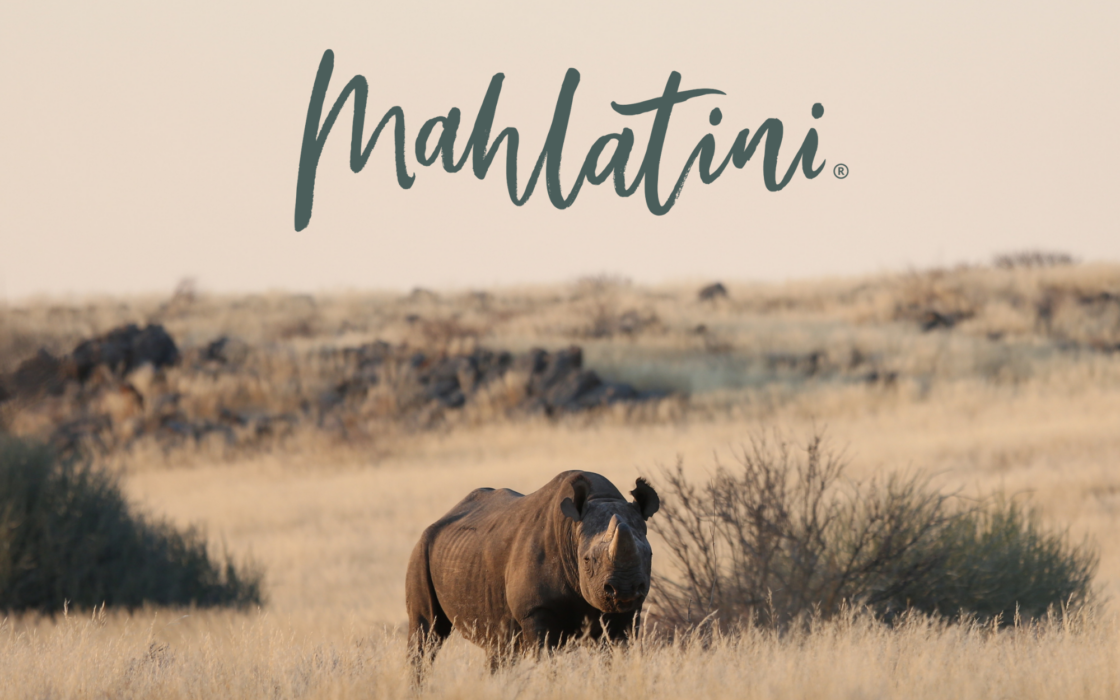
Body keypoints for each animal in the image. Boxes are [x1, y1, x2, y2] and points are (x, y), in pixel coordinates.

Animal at [405, 470, 660, 674]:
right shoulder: (535, 610)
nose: (623, 589)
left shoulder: (628, 612)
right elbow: (546, 661)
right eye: (587, 559)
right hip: (421, 549)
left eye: (649, 555)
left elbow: (616, 656)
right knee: (427, 634)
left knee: (500, 649)